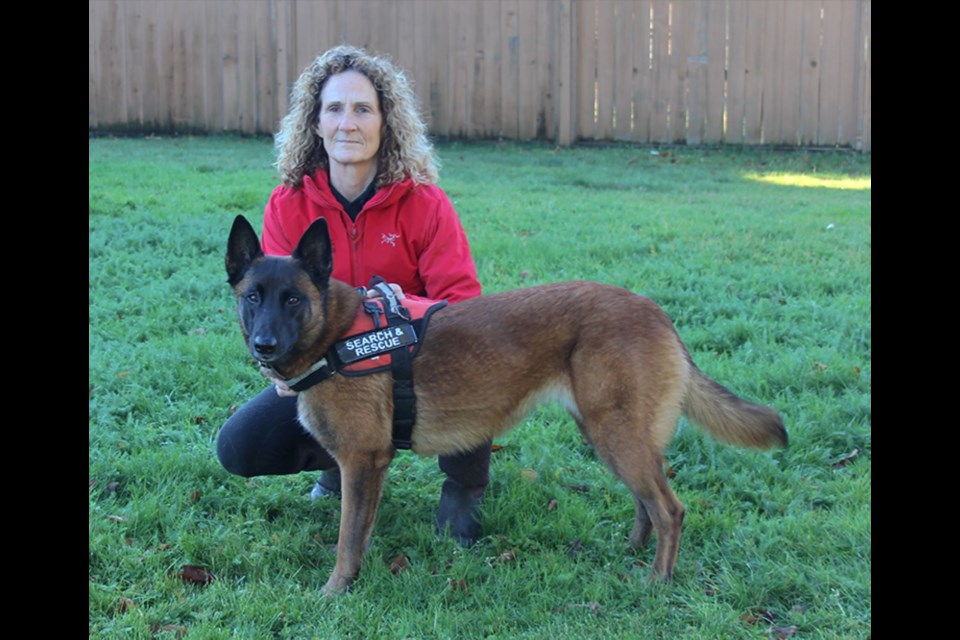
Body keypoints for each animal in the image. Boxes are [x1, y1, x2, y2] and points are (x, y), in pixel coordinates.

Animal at [225, 215, 788, 596]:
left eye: (293, 299)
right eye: (253, 297)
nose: (265, 345)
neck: (337, 334)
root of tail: (657, 313)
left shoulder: (363, 462)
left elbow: (347, 540)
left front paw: (336, 591)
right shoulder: (363, 466)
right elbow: (358, 533)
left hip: (617, 436)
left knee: (670, 509)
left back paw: (657, 581)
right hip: (609, 435)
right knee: (646, 501)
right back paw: (630, 550)